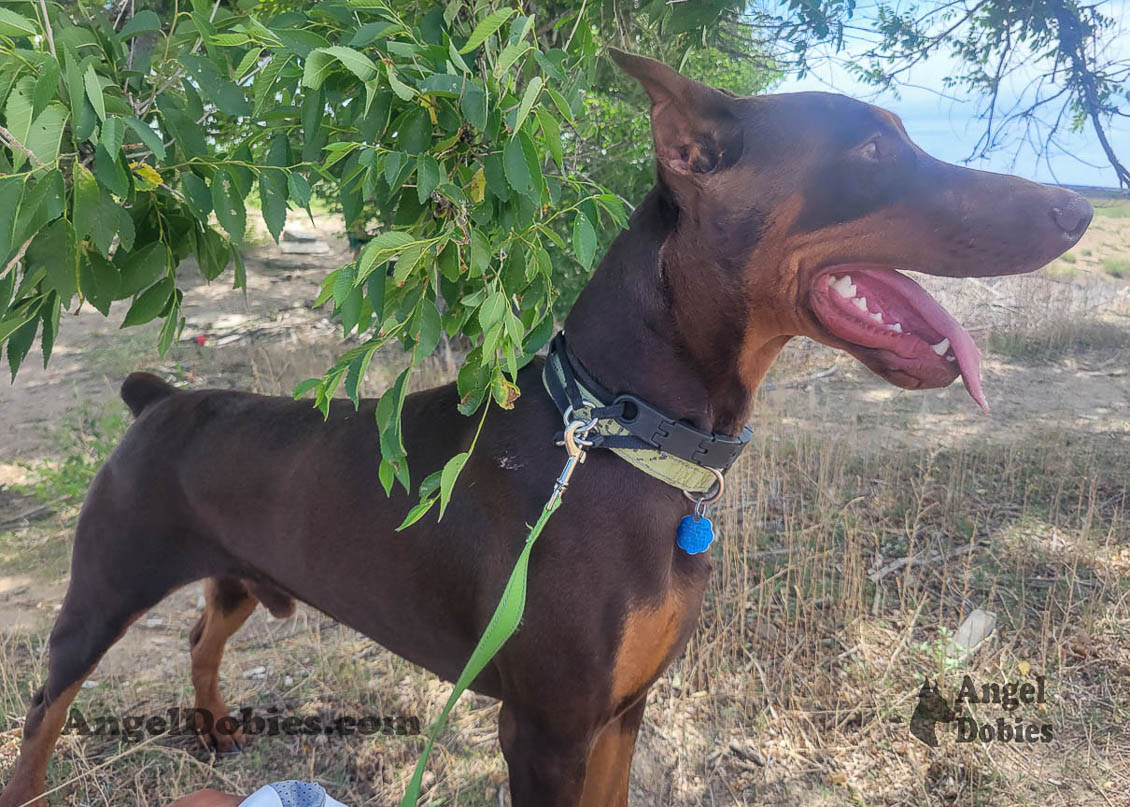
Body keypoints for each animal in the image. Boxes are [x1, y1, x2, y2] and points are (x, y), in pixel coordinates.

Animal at [2, 48, 1093, 804]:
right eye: (872, 149)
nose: (1077, 210)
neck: (623, 435)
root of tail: (157, 397)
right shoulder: (547, 728)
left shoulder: (621, 710)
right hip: (102, 589)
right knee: (45, 708)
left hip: (236, 572)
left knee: (202, 629)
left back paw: (214, 725)